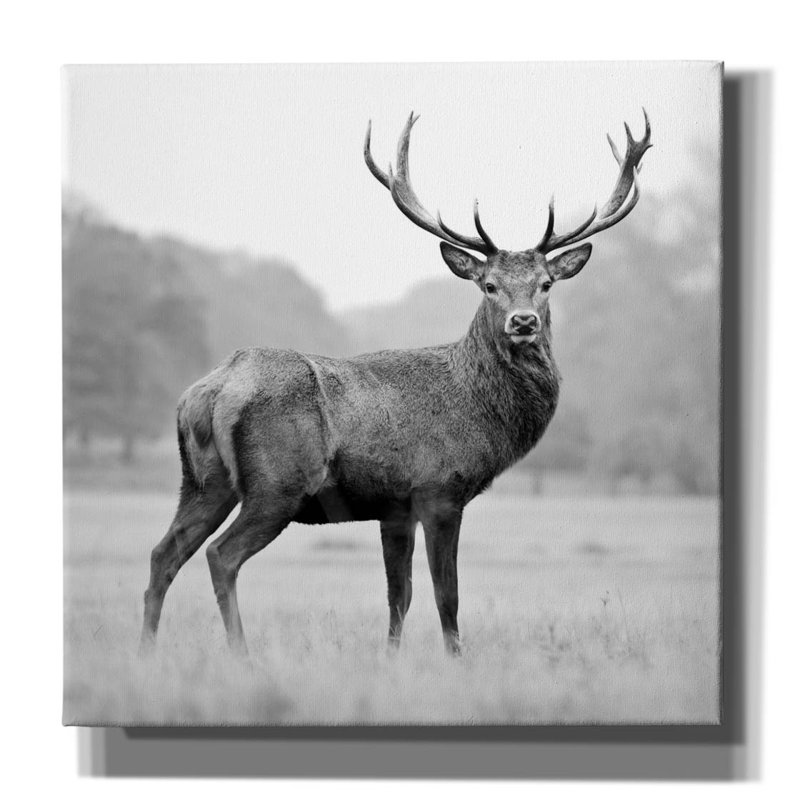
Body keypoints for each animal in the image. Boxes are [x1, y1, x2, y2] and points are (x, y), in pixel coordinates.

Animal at [139, 111, 652, 659]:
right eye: (488, 285)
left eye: (547, 284)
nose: (523, 321)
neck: (479, 411)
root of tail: (211, 390)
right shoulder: (439, 489)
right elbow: (447, 595)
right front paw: (456, 661)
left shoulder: (394, 507)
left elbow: (398, 596)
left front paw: (390, 659)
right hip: (277, 483)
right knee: (221, 555)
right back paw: (241, 655)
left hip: (202, 480)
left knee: (163, 553)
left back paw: (146, 652)